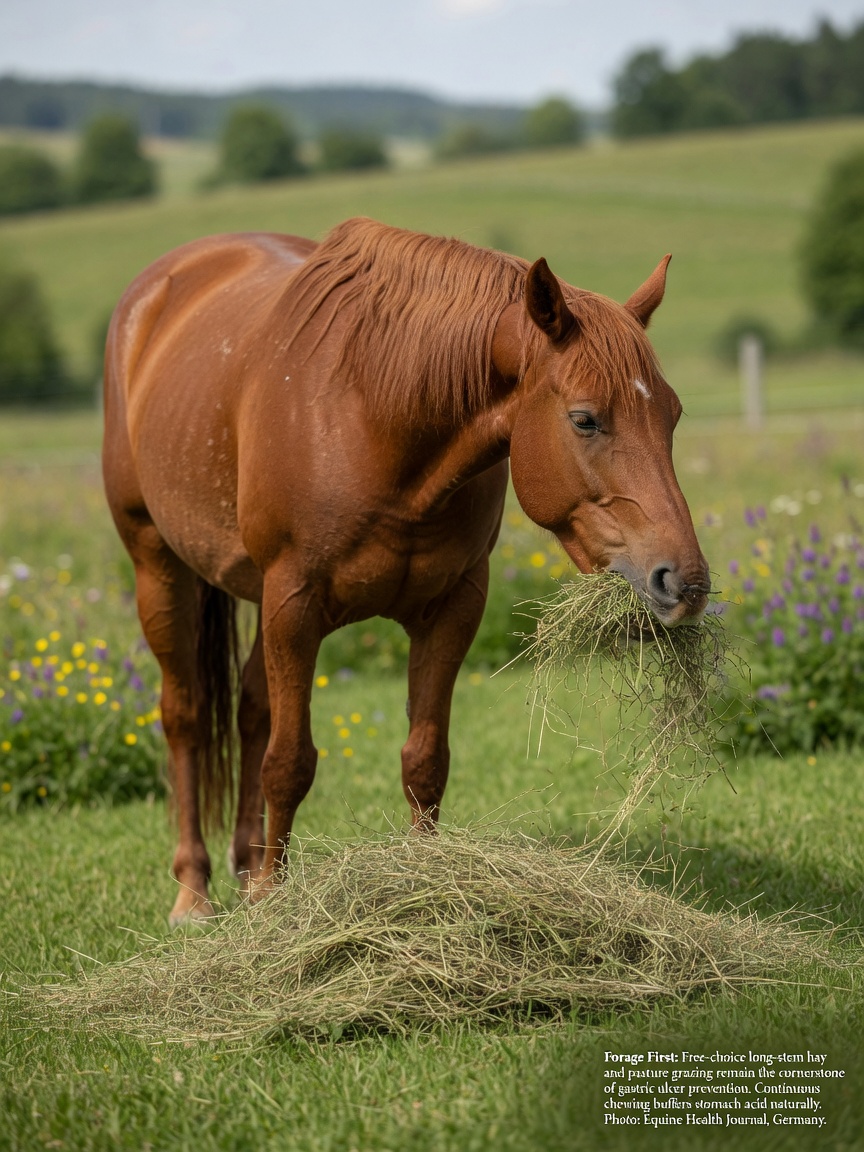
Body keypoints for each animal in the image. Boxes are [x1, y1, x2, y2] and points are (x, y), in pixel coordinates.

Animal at [102, 217, 710, 926]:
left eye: (671, 414)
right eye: (585, 419)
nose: (685, 581)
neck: (373, 410)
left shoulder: (451, 606)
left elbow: (425, 760)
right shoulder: (295, 601)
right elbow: (290, 762)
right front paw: (278, 911)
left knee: (251, 708)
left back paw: (249, 872)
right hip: (160, 566)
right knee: (188, 717)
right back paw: (194, 893)